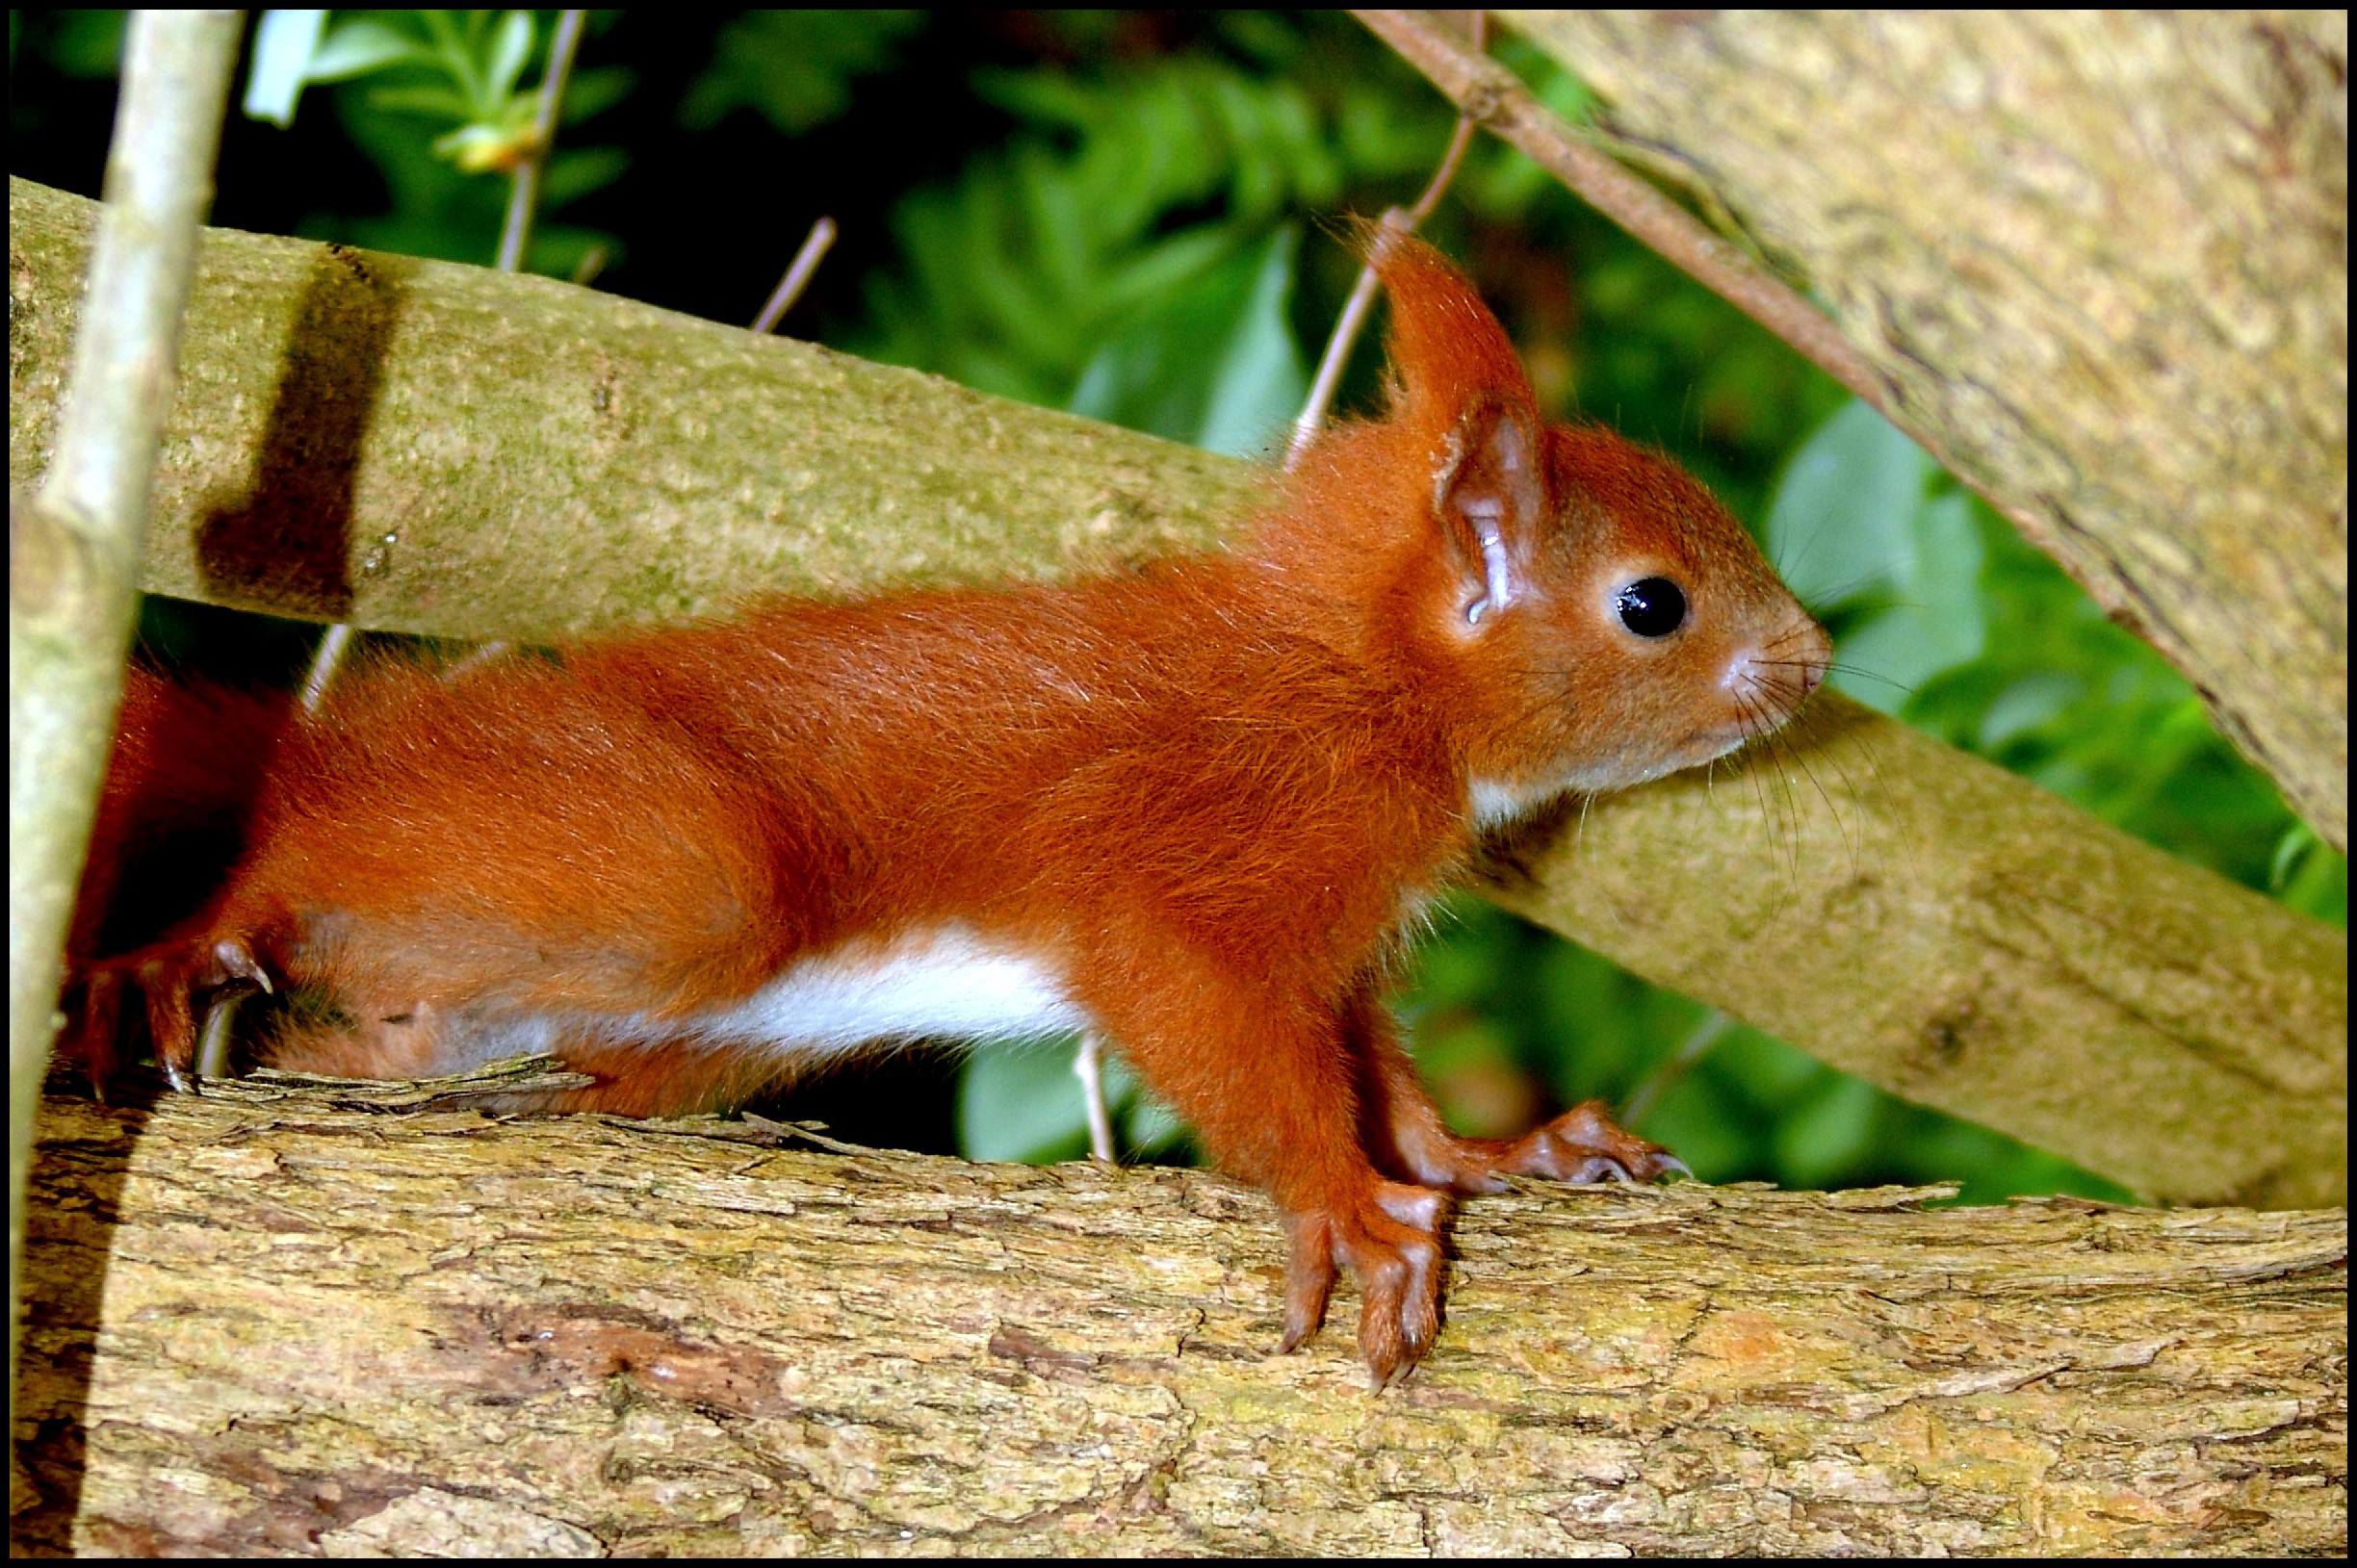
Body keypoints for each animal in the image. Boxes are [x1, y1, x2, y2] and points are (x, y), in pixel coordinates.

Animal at [67, 237, 1832, 1385]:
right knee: (298, 849)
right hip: (669, 877)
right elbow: (1225, 1034)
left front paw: (1502, 1151)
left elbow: (1380, 1078)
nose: (1813, 661)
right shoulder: (1192, 854)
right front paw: (1347, 1209)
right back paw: (186, 937)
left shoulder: (1336, 945)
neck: (1357, 683)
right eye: (1654, 605)